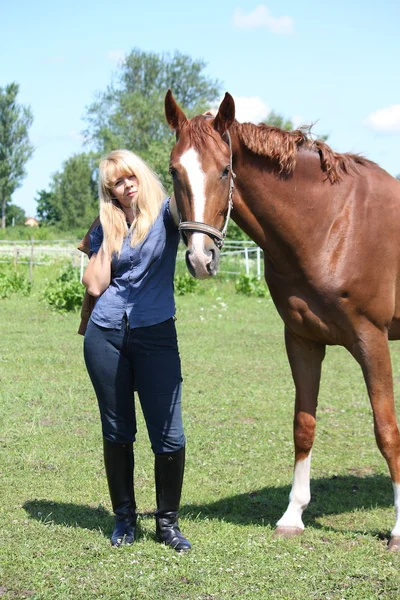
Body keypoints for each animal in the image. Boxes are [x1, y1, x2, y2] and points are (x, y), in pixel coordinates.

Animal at [165, 88, 400, 548]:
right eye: (173, 170)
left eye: (225, 170)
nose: (201, 258)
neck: (331, 225)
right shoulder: (302, 339)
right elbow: (303, 426)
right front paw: (293, 515)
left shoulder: (372, 339)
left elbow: (386, 430)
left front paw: (399, 529)